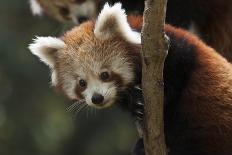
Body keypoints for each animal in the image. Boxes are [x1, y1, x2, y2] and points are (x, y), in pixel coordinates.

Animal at [29, 2, 232, 155]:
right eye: (82, 83)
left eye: (105, 74)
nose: (97, 98)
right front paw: (135, 104)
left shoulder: (174, 47)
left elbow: (179, 72)